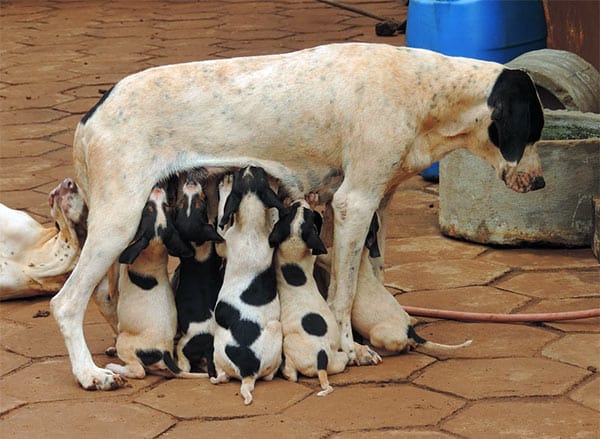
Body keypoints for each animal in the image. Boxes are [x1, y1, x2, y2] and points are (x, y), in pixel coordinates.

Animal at [108, 184, 209, 380]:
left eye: (148, 209)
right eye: (168, 207)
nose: (158, 187)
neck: (154, 248)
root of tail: (165, 353)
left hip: (125, 342)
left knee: (138, 371)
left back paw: (114, 368)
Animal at [171, 170, 225, 376]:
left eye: (198, 203)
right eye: (181, 204)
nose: (191, 181)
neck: (197, 244)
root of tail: (208, 347)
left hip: (185, 344)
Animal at [211, 167, 286, 408]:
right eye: (260, 174)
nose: (249, 165)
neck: (251, 227)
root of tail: (247, 372)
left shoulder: (223, 242)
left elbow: (221, 219)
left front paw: (224, 186)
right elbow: (274, 215)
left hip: (224, 345)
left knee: (225, 376)